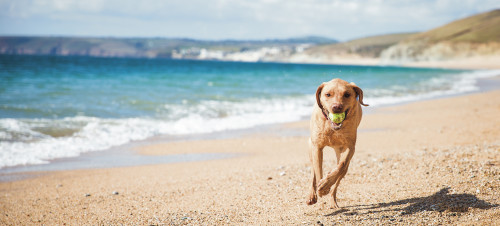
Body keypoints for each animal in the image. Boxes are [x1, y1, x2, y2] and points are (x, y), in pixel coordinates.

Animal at [304, 78, 368, 207]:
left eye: (347, 94)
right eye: (328, 94)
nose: (337, 107)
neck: (332, 127)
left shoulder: (350, 147)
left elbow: (341, 165)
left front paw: (325, 184)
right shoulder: (317, 147)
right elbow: (318, 170)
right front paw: (322, 187)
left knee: (340, 175)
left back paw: (333, 200)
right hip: (311, 147)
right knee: (313, 171)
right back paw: (312, 195)